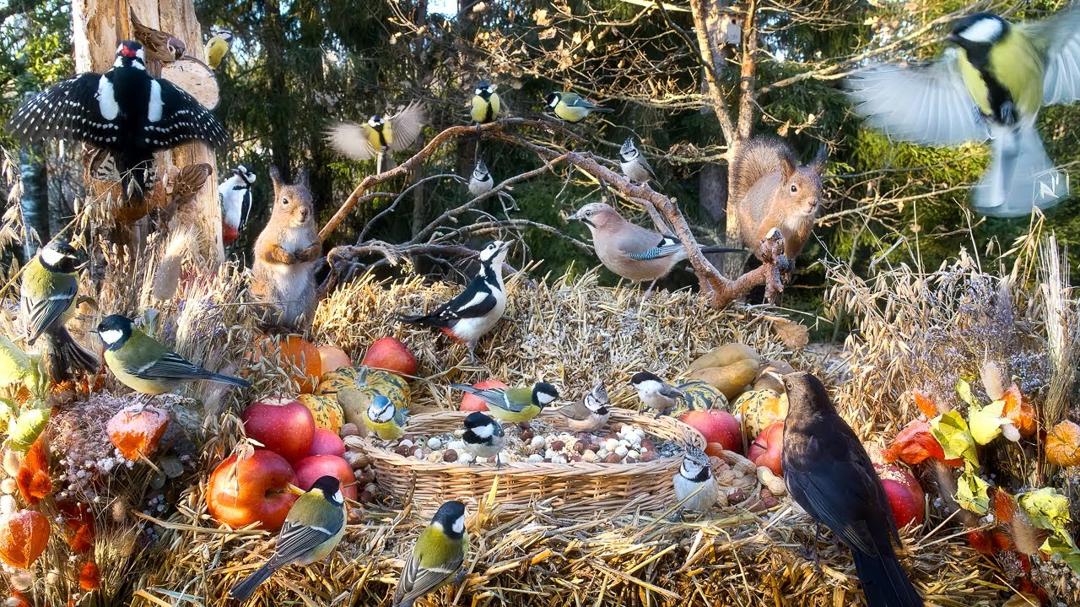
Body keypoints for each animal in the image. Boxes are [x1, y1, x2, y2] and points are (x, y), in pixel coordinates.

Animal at [250, 166, 321, 331]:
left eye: (311, 199)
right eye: (285, 201)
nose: (304, 211)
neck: (295, 228)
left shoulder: (314, 239)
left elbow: (316, 251)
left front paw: (305, 254)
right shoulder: (266, 239)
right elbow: (267, 251)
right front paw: (287, 257)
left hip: (305, 303)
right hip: (269, 300)